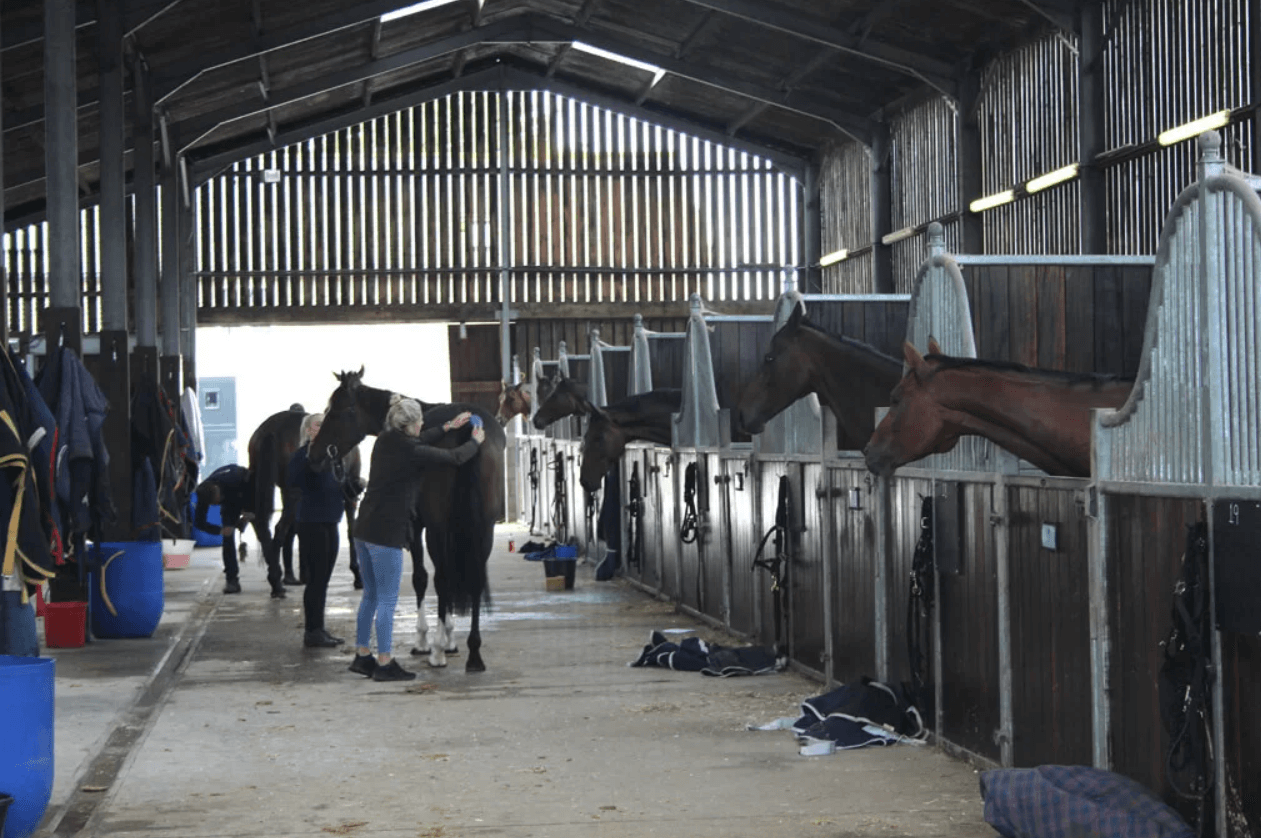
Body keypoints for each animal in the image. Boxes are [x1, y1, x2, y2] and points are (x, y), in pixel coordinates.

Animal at [247, 409, 365, 588]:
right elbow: (351, 532)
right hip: (294, 494)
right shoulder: (349, 495)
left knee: (262, 525)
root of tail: (270, 430)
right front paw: (357, 574)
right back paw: (276, 580)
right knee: (280, 529)